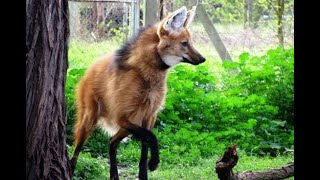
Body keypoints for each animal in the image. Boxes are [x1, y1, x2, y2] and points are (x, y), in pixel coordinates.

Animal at [69, 5, 205, 180]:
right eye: (184, 43)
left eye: (190, 43)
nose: (203, 59)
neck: (148, 74)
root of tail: (89, 69)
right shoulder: (123, 117)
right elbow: (151, 137)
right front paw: (154, 163)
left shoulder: (148, 116)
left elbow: (145, 143)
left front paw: (144, 173)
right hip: (91, 119)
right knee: (76, 150)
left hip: (130, 123)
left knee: (111, 142)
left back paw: (114, 174)